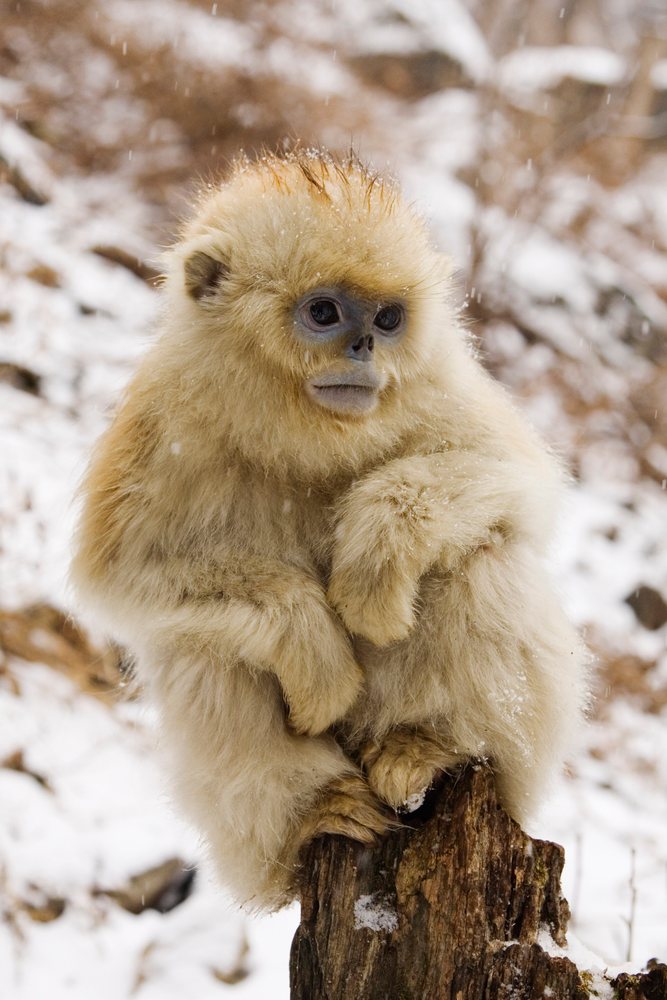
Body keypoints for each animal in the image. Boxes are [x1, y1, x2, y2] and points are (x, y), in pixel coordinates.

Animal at [70, 150, 587, 911]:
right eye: (323, 312)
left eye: (389, 317)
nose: (364, 343)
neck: (303, 437)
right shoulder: (163, 415)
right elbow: (120, 577)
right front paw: (316, 653)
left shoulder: (434, 382)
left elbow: (523, 481)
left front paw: (374, 562)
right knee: (199, 646)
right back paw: (310, 809)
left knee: (481, 556)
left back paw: (434, 746)